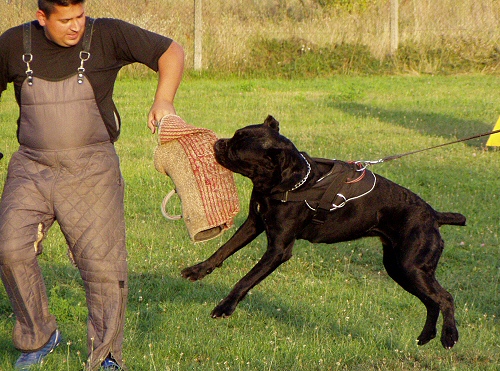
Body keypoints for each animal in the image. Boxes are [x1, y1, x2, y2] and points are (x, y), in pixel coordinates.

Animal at [182, 115, 466, 348]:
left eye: (238, 146)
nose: (218, 142)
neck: (291, 183)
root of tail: (434, 216)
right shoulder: (254, 223)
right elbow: (223, 250)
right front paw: (198, 270)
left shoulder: (278, 249)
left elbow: (245, 280)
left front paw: (225, 307)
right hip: (400, 269)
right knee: (432, 301)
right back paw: (427, 336)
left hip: (410, 267)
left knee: (445, 298)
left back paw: (449, 336)